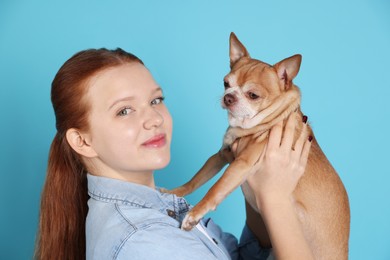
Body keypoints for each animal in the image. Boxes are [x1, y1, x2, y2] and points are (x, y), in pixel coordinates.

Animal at [171, 33, 350, 260]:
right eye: (225, 83)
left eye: (253, 95)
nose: (229, 97)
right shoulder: (221, 157)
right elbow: (195, 180)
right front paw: (171, 191)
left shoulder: (241, 163)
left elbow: (215, 188)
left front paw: (193, 215)